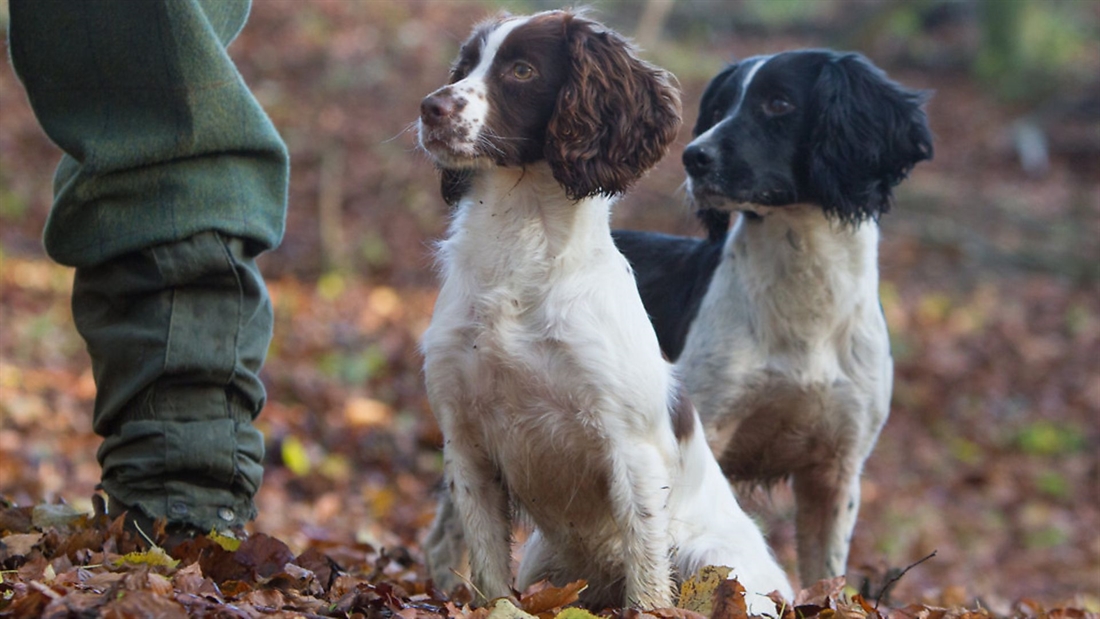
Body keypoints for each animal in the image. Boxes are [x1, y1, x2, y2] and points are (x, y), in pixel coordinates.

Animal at [418, 10, 792, 615]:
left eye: (522, 70)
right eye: (466, 65)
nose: (430, 108)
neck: (519, 252)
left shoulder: (629, 449)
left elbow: (647, 576)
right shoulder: (465, 438)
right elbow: (490, 575)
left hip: (711, 559)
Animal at [616, 50, 932, 589]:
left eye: (779, 104)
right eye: (718, 107)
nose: (694, 156)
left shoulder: (836, 470)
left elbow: (826, 578)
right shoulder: (707, 431)